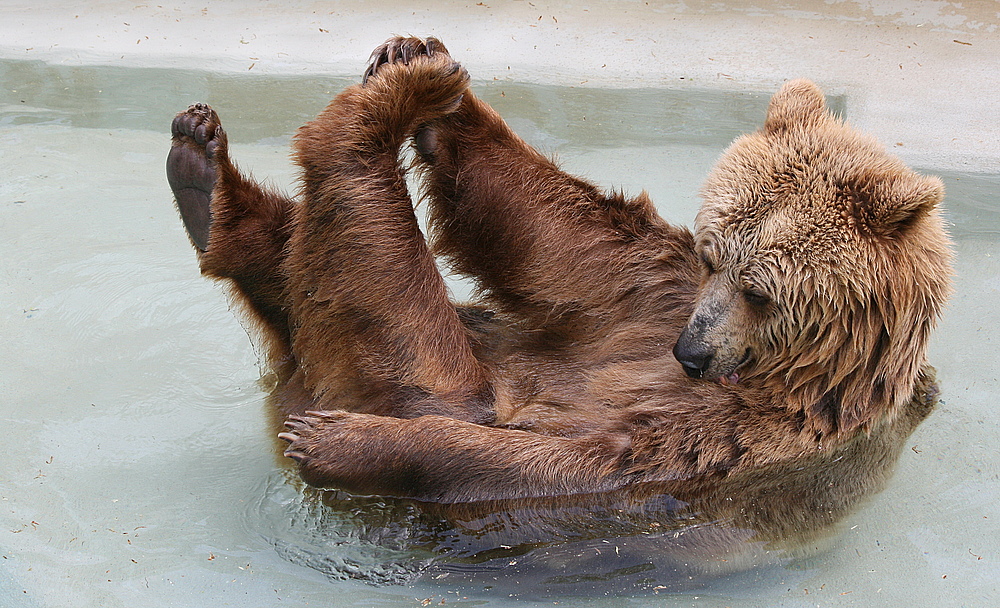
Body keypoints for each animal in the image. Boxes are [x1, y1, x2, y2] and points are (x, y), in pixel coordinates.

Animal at [166, 35, 952, 552]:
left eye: (759, 290)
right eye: (712, 254)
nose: (690, 352)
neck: (801, 369)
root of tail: (293, 384)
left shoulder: (755, 438)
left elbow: (570, 460)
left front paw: (349, 444)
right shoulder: (652, 293)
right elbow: (555, 239)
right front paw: (421, 58)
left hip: (398, 368)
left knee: (381, 291)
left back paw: (376, 115)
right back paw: (206, 169)